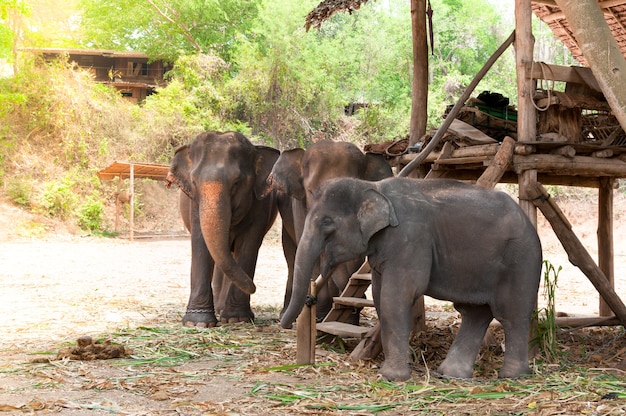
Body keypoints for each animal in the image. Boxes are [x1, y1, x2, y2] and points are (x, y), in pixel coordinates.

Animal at [168, 132, 280, 326]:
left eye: (236, 183)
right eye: (194, 182)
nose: (254, 287)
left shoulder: (261, 206)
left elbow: (248, 246)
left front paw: (237, 318)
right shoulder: (194, 205)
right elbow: (200, 244)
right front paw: (197, 323)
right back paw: (219, 309)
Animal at [280, 177, 540, 382]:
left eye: (327, 222)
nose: (285, 323)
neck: (372, 186)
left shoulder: (409, 238)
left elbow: (396, 296)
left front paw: (391, 377)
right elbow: (379, 297)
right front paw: (390, 371)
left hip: (521, 260)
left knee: (511, 314)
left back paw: (512, 376)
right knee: (474, 313)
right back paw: (450, 374)